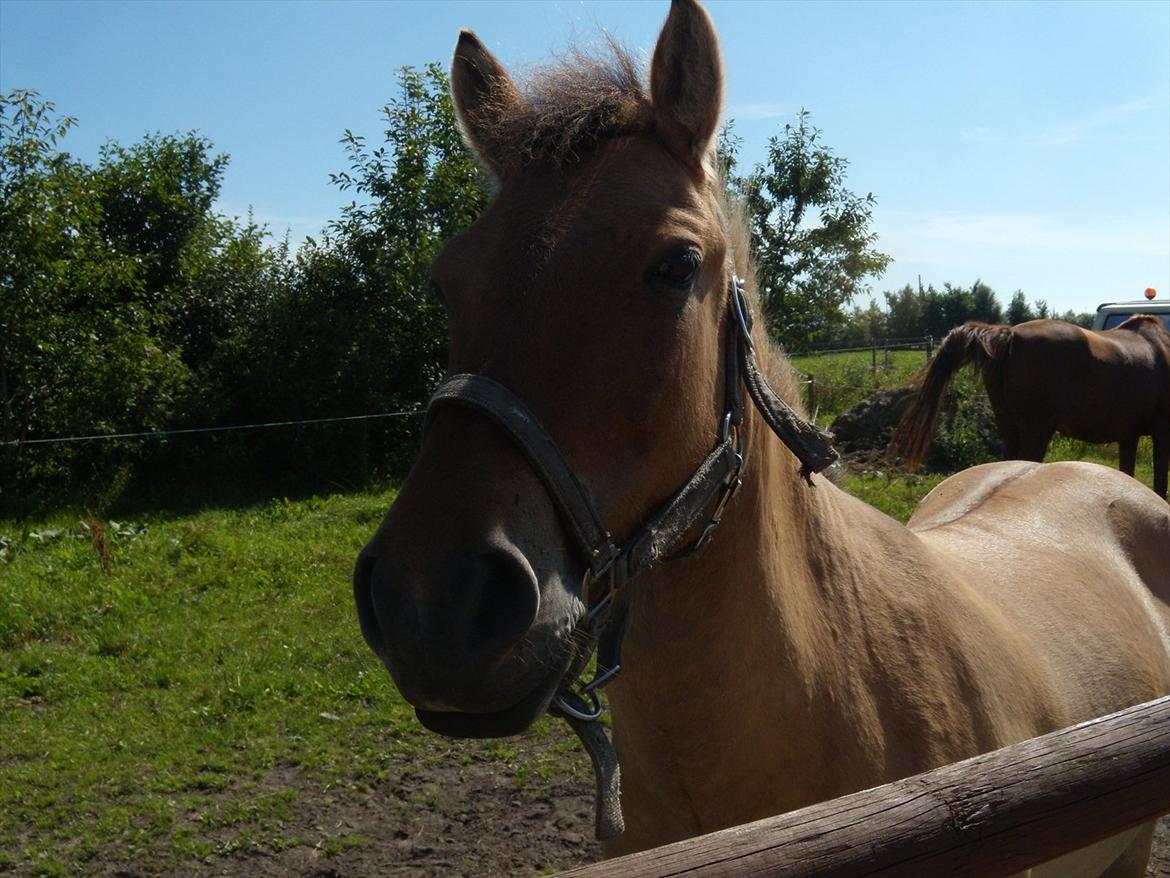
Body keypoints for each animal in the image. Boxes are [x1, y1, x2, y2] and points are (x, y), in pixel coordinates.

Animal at [889, 316, 1170, 498]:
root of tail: (1010, 334)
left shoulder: (1129, 436)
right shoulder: (1161, 435)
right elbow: (1160, 482)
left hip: (1010, 428)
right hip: (1036, 431)